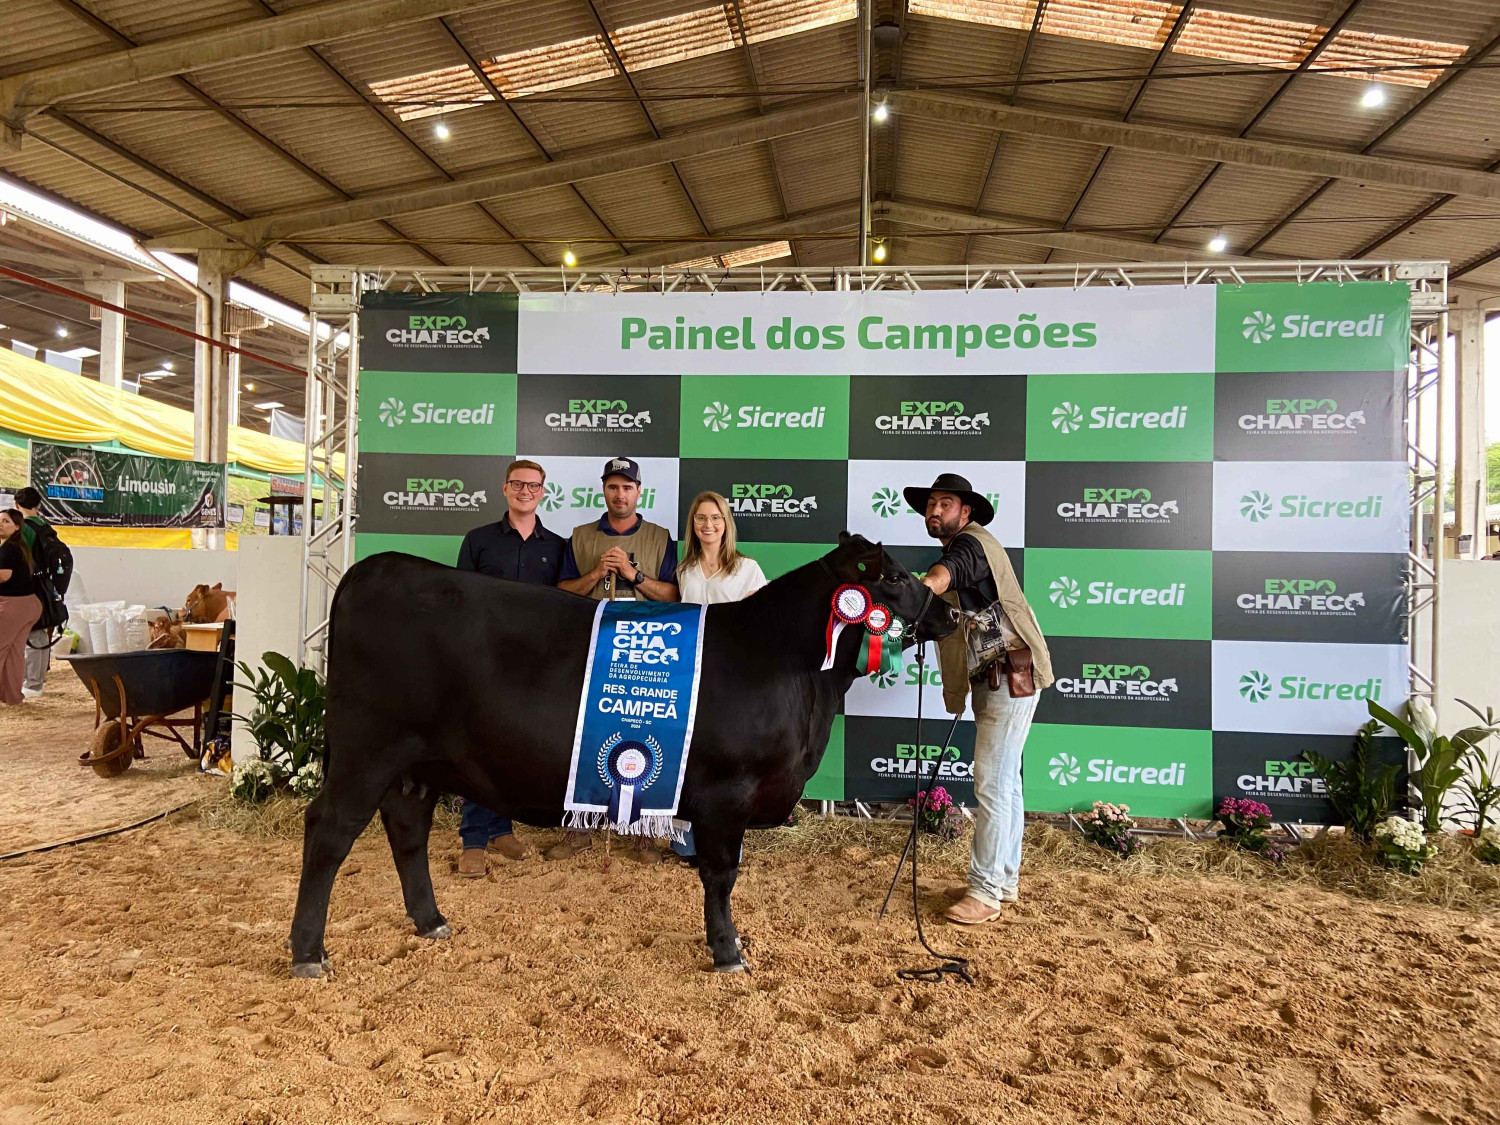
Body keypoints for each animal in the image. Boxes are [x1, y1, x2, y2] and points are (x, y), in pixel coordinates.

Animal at [288, 533, 957, 978]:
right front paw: (728, 952)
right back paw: (308, 953)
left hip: (417, 765)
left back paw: (431, 922)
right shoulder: (727, 792)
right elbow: (722, 875)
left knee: (407, 829)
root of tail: (374, 567)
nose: (951, 611)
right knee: (329, 831)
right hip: (366, 749)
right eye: (895, 578)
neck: (792, 668)